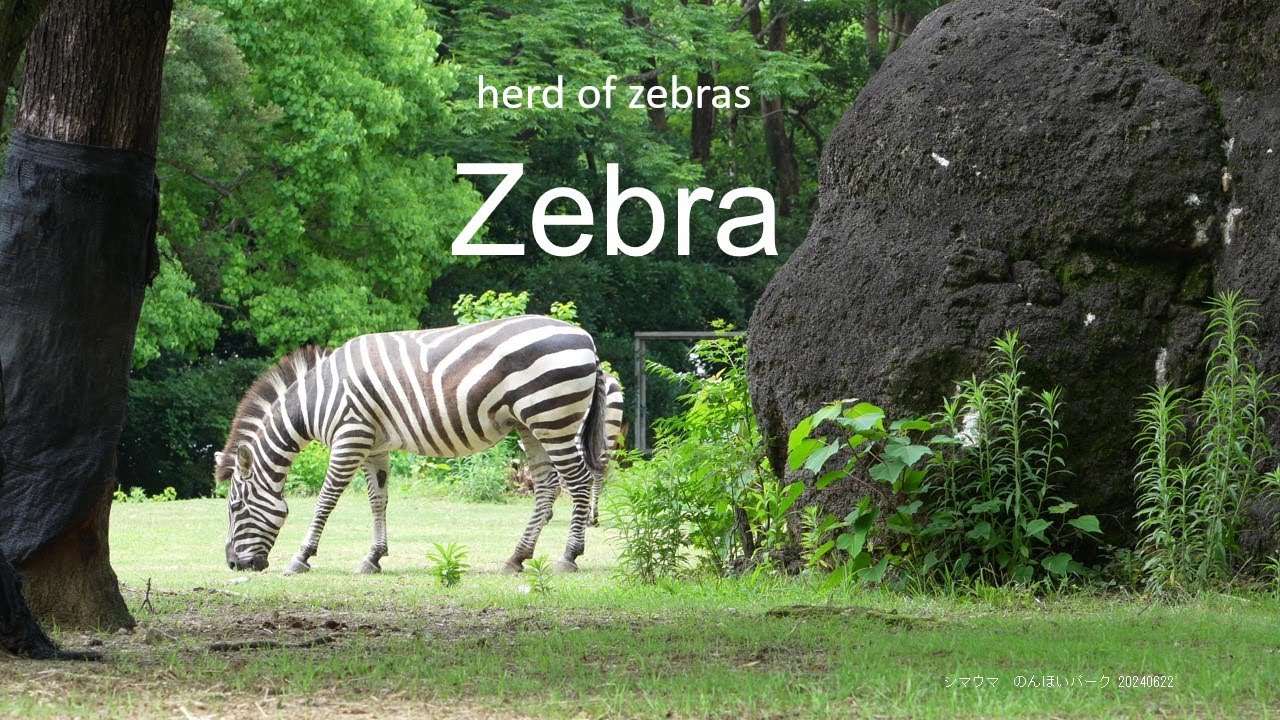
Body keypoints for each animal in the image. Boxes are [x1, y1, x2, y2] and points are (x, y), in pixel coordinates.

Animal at [214, 315, 614, 575]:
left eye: (235, 508)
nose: (233, 564)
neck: (318, 399)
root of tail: (587, 339)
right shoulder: (373, 445)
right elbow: (378, 500)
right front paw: (373, 558)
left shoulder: (350, 436)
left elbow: (326, 499)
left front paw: (302, 557)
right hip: (532, 425)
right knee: (547, 487)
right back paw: (516, 558)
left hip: (553, 418)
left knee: (578, 482)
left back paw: (569, 557)